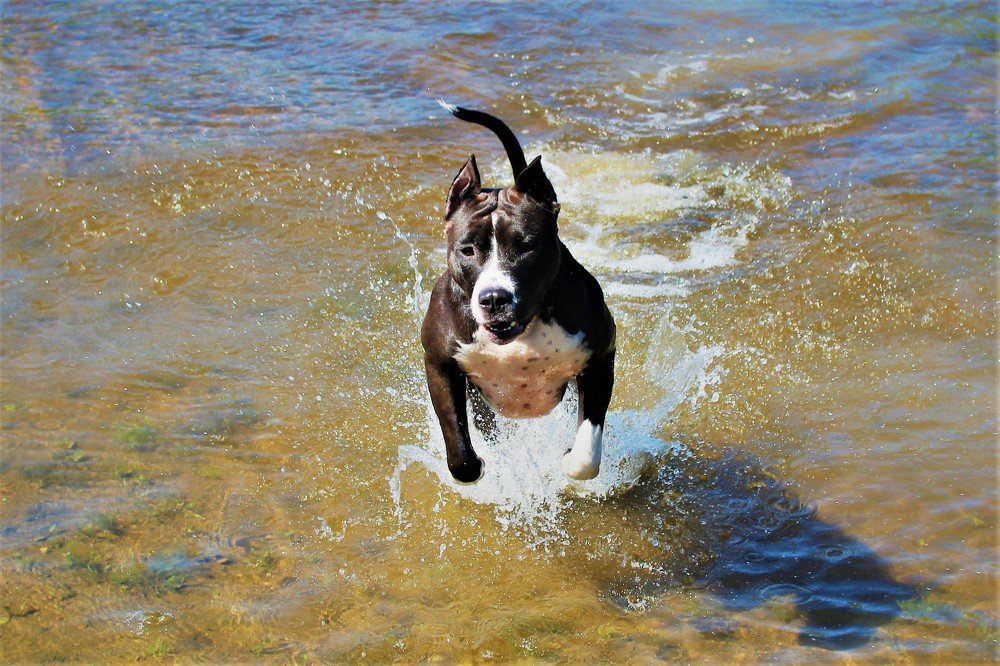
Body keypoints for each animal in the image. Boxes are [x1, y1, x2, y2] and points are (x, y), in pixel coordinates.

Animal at [421, 101, 616, 483]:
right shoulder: (439, 364)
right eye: (467, 250)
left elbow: (586, 453)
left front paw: (570, 456)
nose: (494, 298)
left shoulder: (601, 357)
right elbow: (460, 453)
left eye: (526, 246)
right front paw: (477, 464)